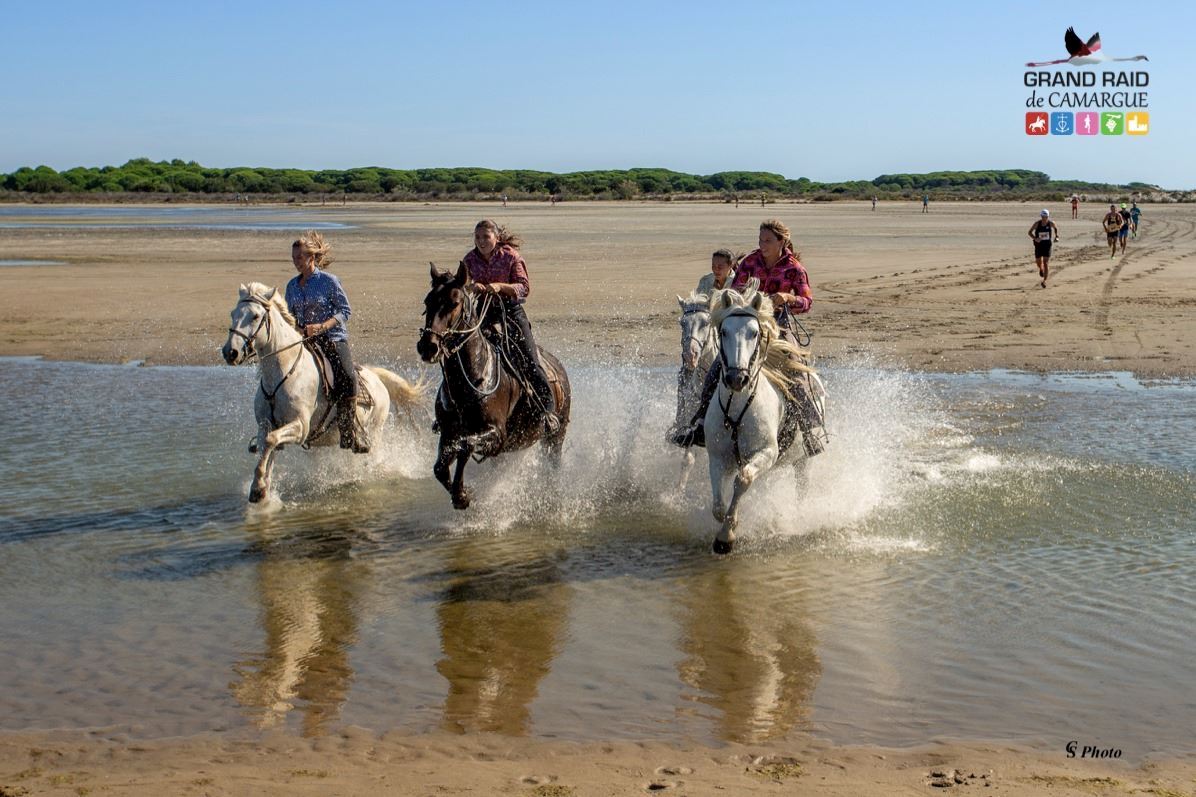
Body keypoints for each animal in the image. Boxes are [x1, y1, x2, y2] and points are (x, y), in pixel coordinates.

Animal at [221, 282, 425, 500]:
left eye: (255, 316)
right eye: (233, 313)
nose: (230, 352)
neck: (284, 371)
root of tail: (377, 378)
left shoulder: (300, 426)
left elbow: (271, 440)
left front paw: (259, 486)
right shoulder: (265, 424)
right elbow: (267, 448)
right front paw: (260, 489)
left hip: (375, 431)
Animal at [418, 262, 571, 509]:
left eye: (454, 303)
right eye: (427, 302)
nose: (428, 346)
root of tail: (559, 368)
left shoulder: (496, 433)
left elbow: (466, 445)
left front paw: (461, 495)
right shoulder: (448, 432)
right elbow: (441, 466)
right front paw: (463, 493)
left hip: (555, 438)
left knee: (553, 464)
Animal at [703, 286, 827, 552]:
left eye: (754, 333)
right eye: (724, 331)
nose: (736, 378)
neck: (738, 404)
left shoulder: (767, 452)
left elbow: (743, 479)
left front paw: (726, 537)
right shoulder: (717, 456)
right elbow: (718, 505)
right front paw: (726, 525)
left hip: (802, 462)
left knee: (802, 488)